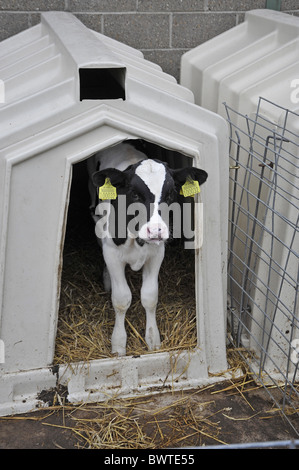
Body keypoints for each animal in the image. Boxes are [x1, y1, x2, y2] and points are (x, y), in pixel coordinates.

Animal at [88, 143, 207, 356]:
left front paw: (153, 338)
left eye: (170, 193)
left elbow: (150, 296)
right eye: (135, 194)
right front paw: (118, 344)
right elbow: (121, 299)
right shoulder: (112, 254)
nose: (156, 230)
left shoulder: (156, 254)